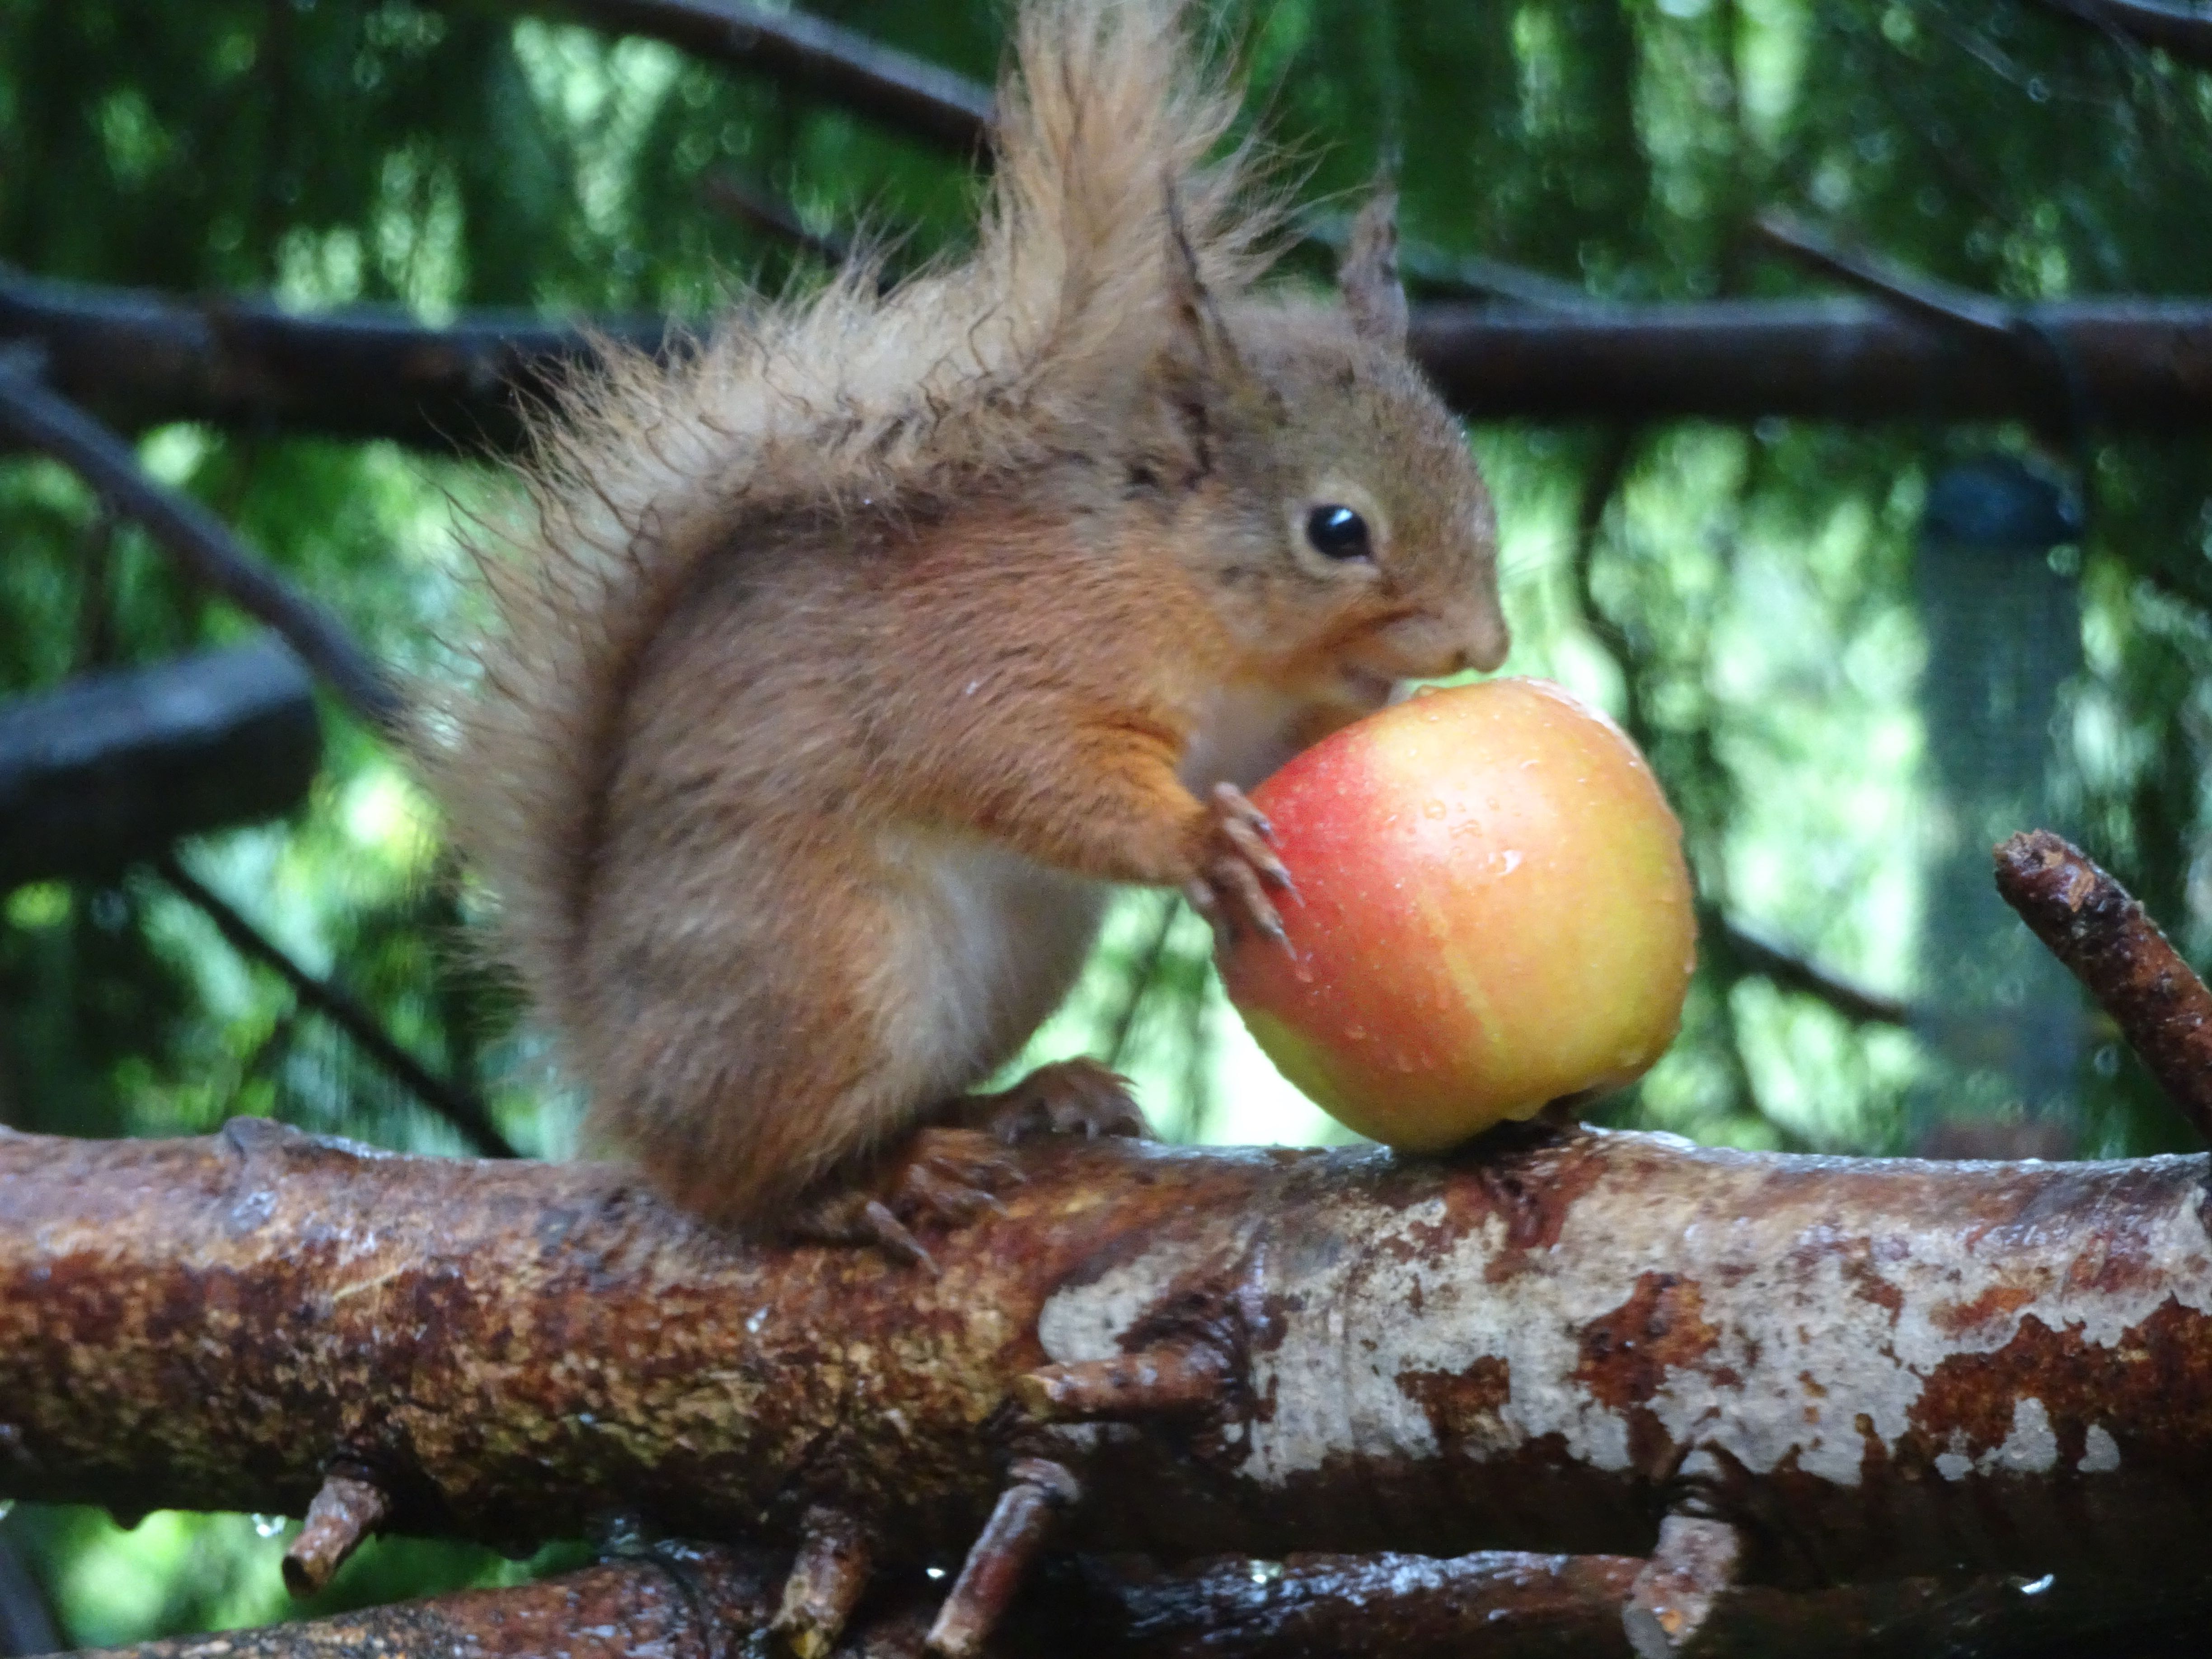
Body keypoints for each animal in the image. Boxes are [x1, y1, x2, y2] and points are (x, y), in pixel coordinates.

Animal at [425, 0, 1509, 1249]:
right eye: (1337, 530)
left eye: (1470, 464)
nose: (1484, 647)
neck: (1182, 592)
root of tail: (615, 1060)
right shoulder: (1001, 652)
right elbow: (1030, 770)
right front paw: (1202, 843)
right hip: (833, 976)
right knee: (750, 1183)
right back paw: (875, 1181)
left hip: (1011, 966)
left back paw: (1028, 1099)